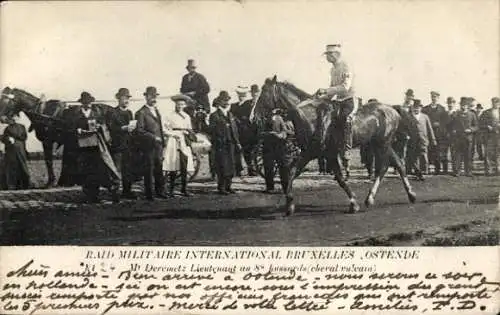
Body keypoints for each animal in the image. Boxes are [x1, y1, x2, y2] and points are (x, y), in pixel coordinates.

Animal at [254, 75, 418, 216]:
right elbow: (293, 172)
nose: (253, 116)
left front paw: (353, 203)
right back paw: (410, 195)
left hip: (382, 144)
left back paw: (371, 198)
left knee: (383, 167)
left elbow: (339, 178)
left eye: (264, 91)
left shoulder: (324, 153)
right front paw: (289, 205)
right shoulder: (312, 153)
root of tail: (392, 109)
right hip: (381, 143)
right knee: (398, 163)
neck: (310, 117)